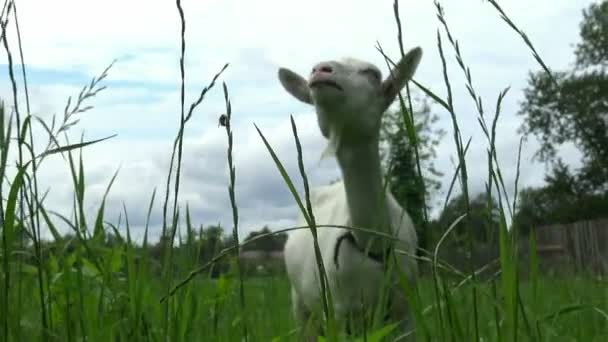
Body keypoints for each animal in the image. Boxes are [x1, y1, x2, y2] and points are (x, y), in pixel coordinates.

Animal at [278, 46, 420, 338]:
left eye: (373, 73)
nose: (320, 70)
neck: (372, 242)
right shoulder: (342, 313)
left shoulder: (406, 311)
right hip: (301, 305)